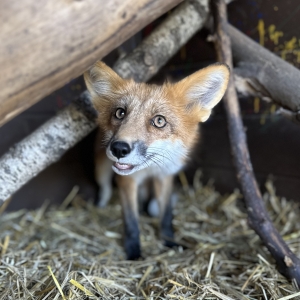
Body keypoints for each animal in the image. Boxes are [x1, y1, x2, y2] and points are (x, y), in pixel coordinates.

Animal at [84, 61, 230, 260]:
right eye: (120, 113)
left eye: (159, 121)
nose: (119, 149)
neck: (150, 168)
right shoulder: (127, 180)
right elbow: (131, 222)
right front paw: (134, 253)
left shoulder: (165, 176)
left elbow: (166, 215)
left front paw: (170, 242)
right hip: (101, 169)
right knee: (105, 187)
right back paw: (101, 206)